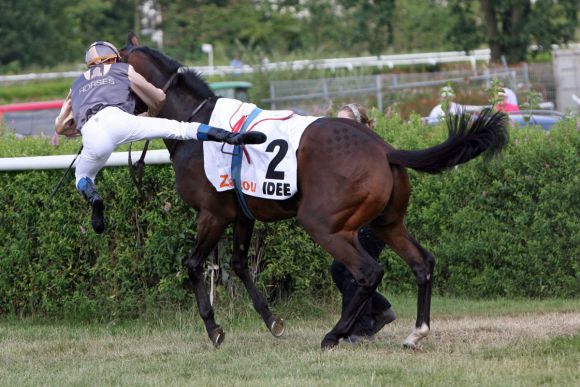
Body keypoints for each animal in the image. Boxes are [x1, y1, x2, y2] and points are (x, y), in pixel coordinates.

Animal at [121, 36, 508, 350]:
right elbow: (239, 264)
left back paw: (335, 334)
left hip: (323, 223)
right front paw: (272, 320)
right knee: (422, 262)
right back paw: (416, 332)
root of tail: (384, 149)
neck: (196, 124)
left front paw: (214, 328)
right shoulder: (242, 212)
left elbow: (193, 264)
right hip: (387, 222)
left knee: (367, 272)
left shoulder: (213, 213)